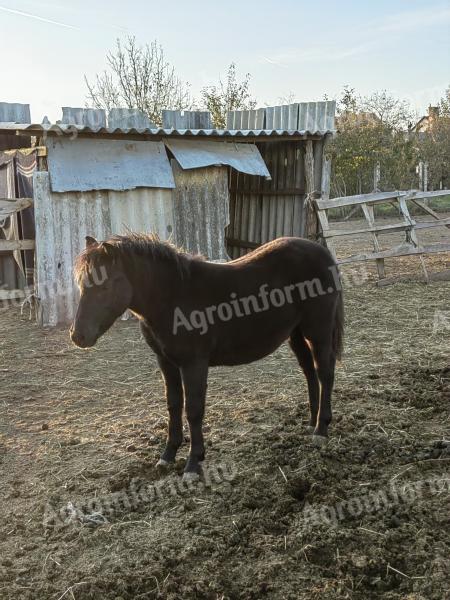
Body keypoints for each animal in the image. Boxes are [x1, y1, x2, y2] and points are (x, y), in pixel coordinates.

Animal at [71, 234, 344, 482]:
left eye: (105, 286)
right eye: (81, 285)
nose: (78, 336)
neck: (172, 297)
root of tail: (322, 252)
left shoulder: (194, 364)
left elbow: (193, 410)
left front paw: (193, 464)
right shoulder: (166, 362)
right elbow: (173, 405)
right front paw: (168, 455)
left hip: (317, 331)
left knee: (325, 372)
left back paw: (321, 429)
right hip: (296, 333)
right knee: (309, 371)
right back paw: (311, 422)